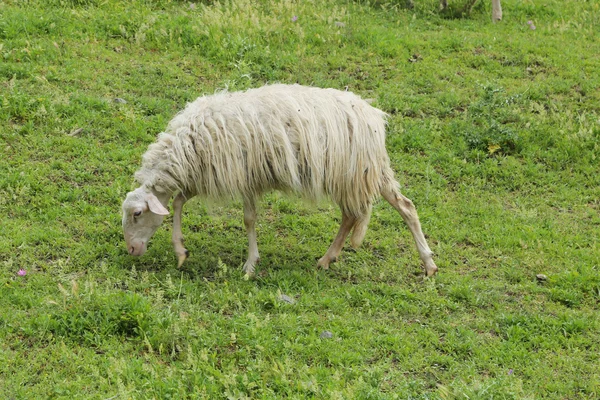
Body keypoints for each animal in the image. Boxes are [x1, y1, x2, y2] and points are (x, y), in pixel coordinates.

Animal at [122, 83, 438, 278]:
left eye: (137, 213)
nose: (131, 251)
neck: (186, 146)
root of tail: (373, 115)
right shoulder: (204, 175)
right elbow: (177, 202)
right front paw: (181, 251)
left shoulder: (242, 176)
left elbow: (248, 219)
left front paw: (250, 265)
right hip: (358, 175)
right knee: (371, 212)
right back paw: (329, 259)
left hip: (356, 174)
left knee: (398, 209)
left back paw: (428, 264)